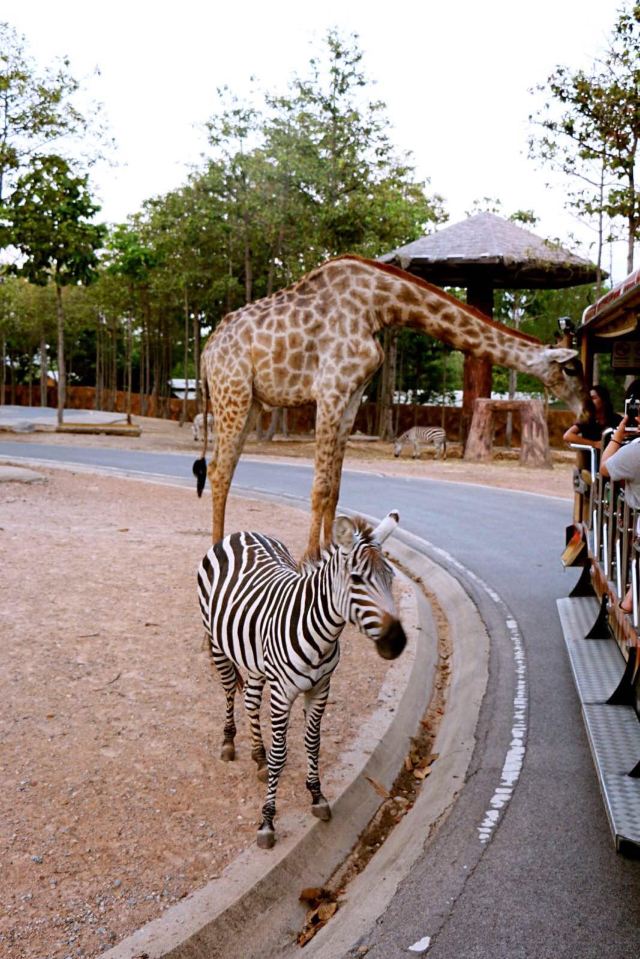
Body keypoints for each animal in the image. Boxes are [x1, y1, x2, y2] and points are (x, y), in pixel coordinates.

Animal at [194, 253, 584, 556]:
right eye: (571, 368)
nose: (587, 409)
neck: (378, 307)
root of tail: (206, 351)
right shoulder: (331, 390)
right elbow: (320, 486)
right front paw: (308, 559)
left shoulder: (352, 394)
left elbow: (335, 485)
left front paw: (330, 553)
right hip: (233, 392)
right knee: (219, 470)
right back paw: (215, 552)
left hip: (252, 403)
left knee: (222, 467)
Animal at [196, 510, 404, 848]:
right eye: (357, 579)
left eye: (391, 578)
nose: (397, 642)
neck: (322, 634)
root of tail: (242, 532)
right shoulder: (283, 694)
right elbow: (281, 754)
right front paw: (267, 822)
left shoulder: (321, 689)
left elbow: (312, 743)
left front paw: (317, 797)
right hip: (216, 641)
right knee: (229, 690)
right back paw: (229, 742)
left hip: (255, 658)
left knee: (250, 699)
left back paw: (258, 755)